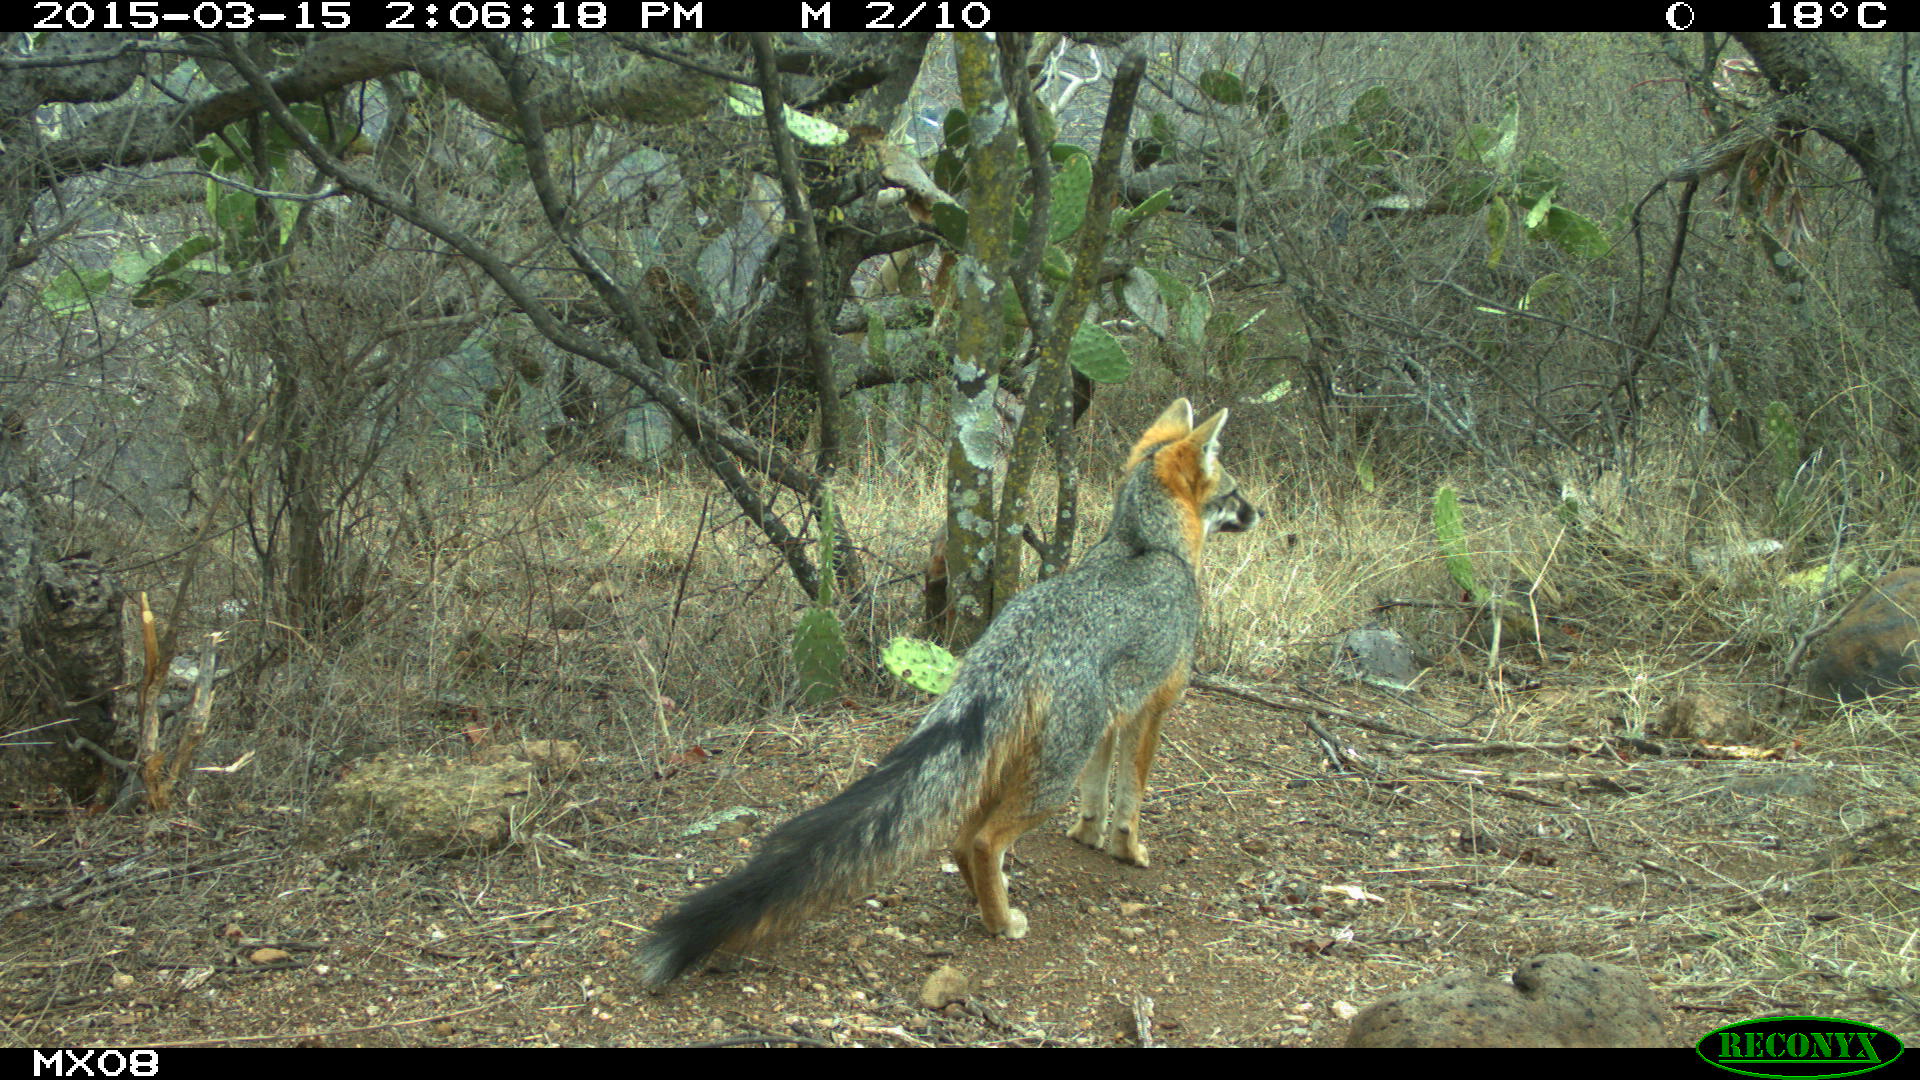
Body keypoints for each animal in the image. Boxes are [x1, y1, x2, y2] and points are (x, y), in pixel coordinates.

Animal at [637, 397, 1251, 983]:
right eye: (1234, 493)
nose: (1257, 512)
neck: (1144, 545)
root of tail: (1015, 642)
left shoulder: (1114, 719)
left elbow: (1098, 794)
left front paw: (1086, 835)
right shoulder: (1154, 708)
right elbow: (1131, 795)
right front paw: (1129, 849)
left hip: (1016, 761)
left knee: (960, 840)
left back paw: (986, 903)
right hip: (1050, 776)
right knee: (982, 841)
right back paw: (1002, 923)